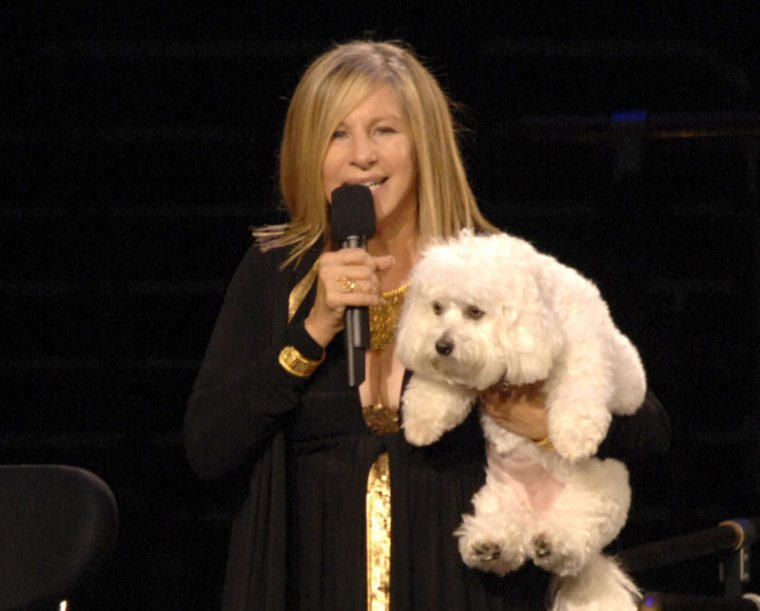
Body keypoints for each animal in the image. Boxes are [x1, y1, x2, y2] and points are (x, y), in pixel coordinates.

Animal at [398, 231, 648, 611]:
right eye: (437, 308)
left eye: (475, 311)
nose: (442, 345)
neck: (540, 316)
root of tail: (537, 518)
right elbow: (437, 389)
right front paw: (421, 422)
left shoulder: (585, 350)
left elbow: (580, 385)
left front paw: (575, 436)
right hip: (498, 497)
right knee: (508, 543)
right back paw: (489, 545)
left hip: (597, 494)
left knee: (573, 539)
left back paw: (552, 542)